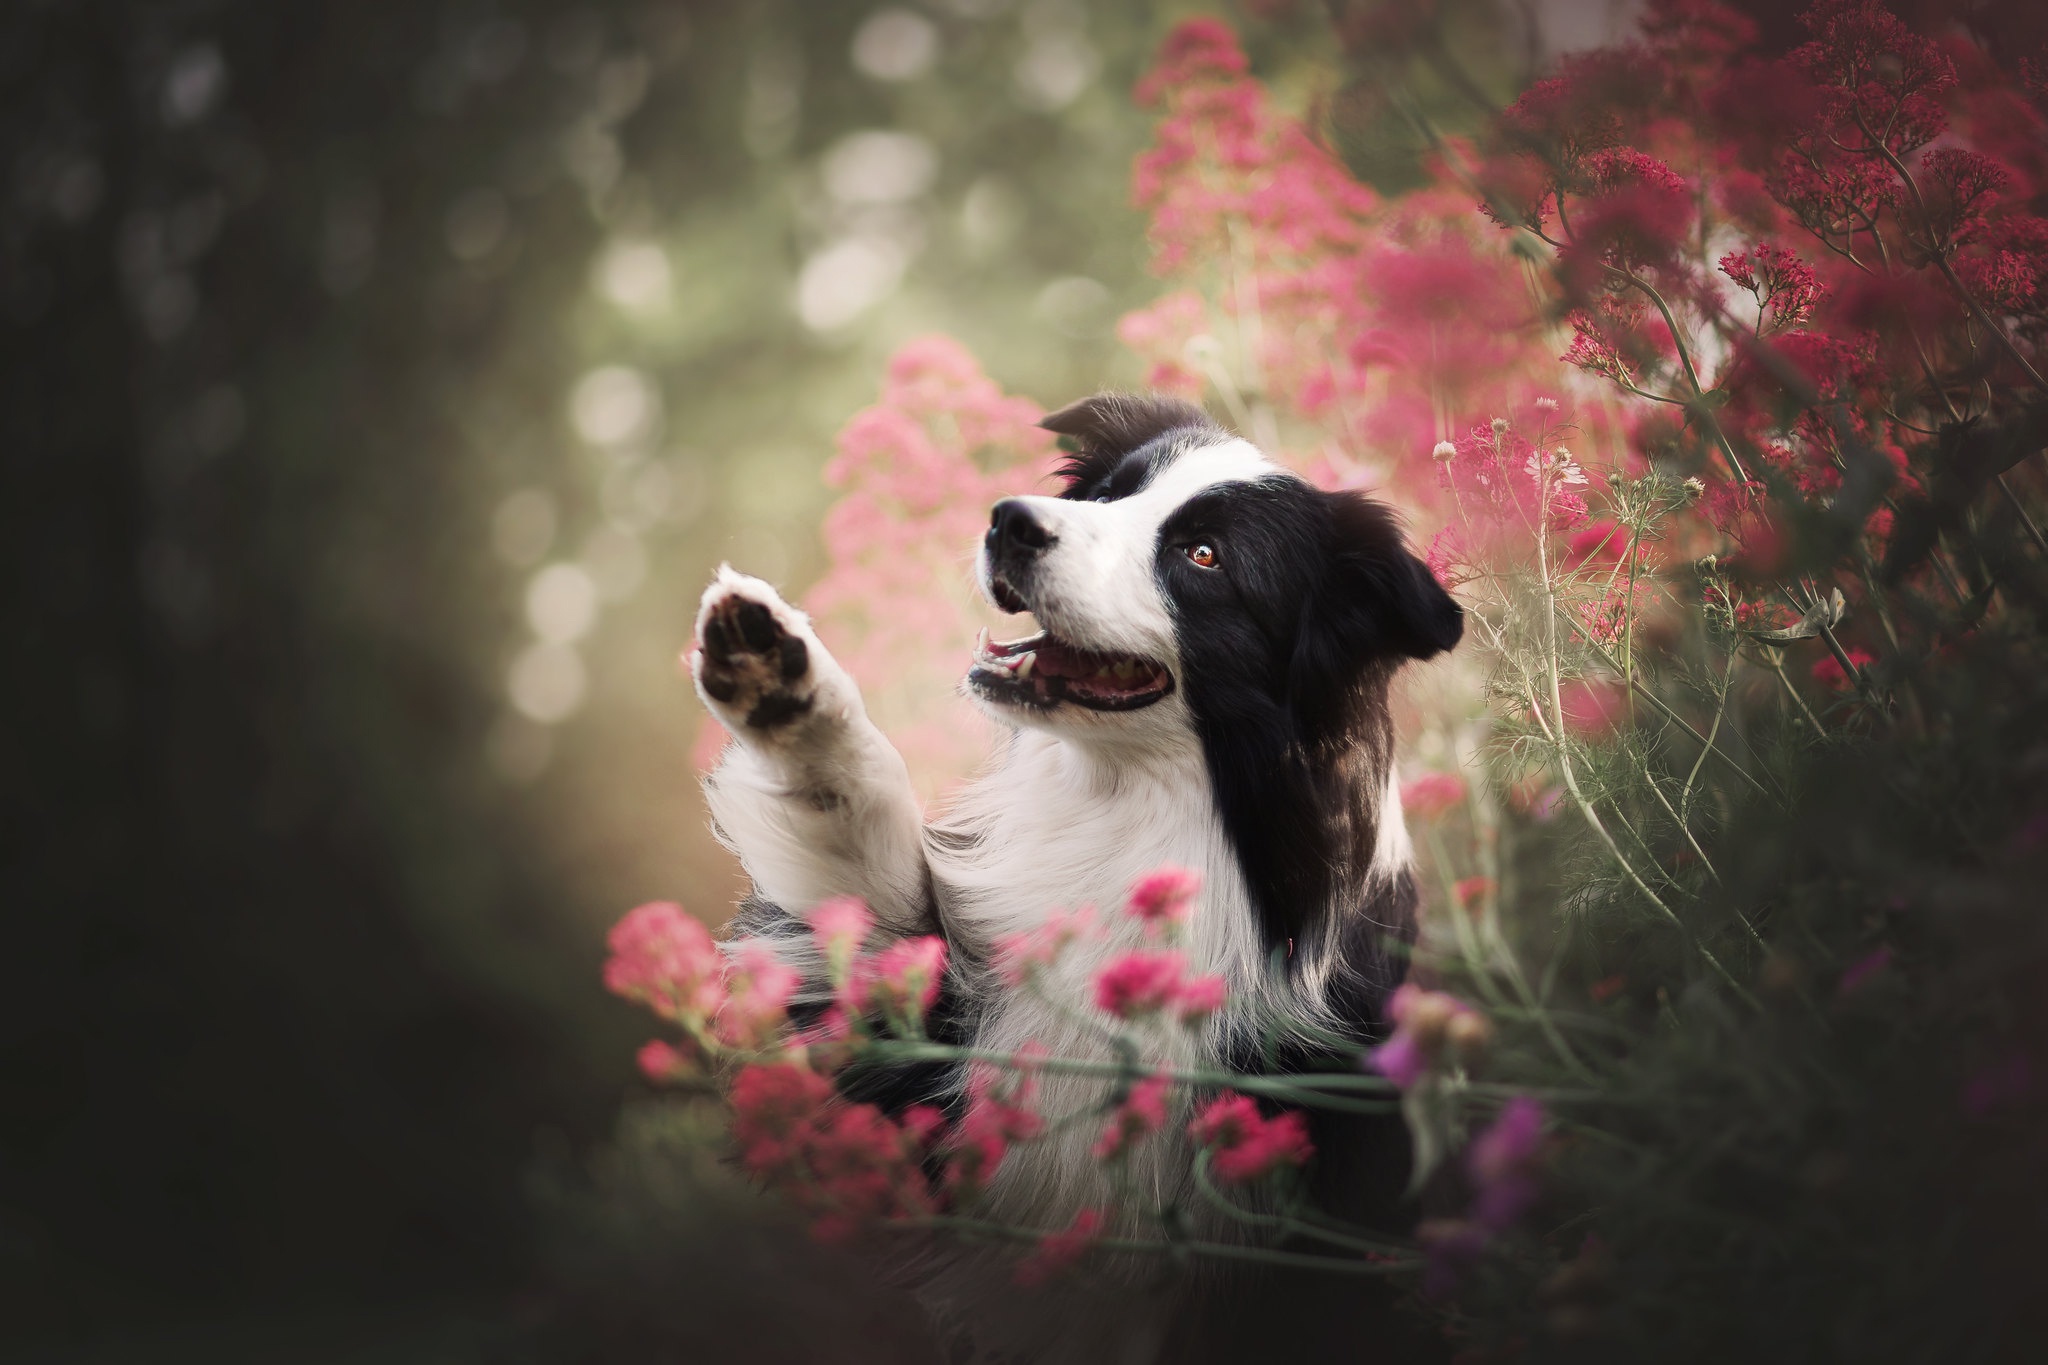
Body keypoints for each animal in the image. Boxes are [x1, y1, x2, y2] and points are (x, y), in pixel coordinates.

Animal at [696, 392, 1466, 1358]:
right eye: (1107, 494)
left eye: (1203, 555)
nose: (1009, 521)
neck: (1135, 821)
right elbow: (861, 861)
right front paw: (779, 678)